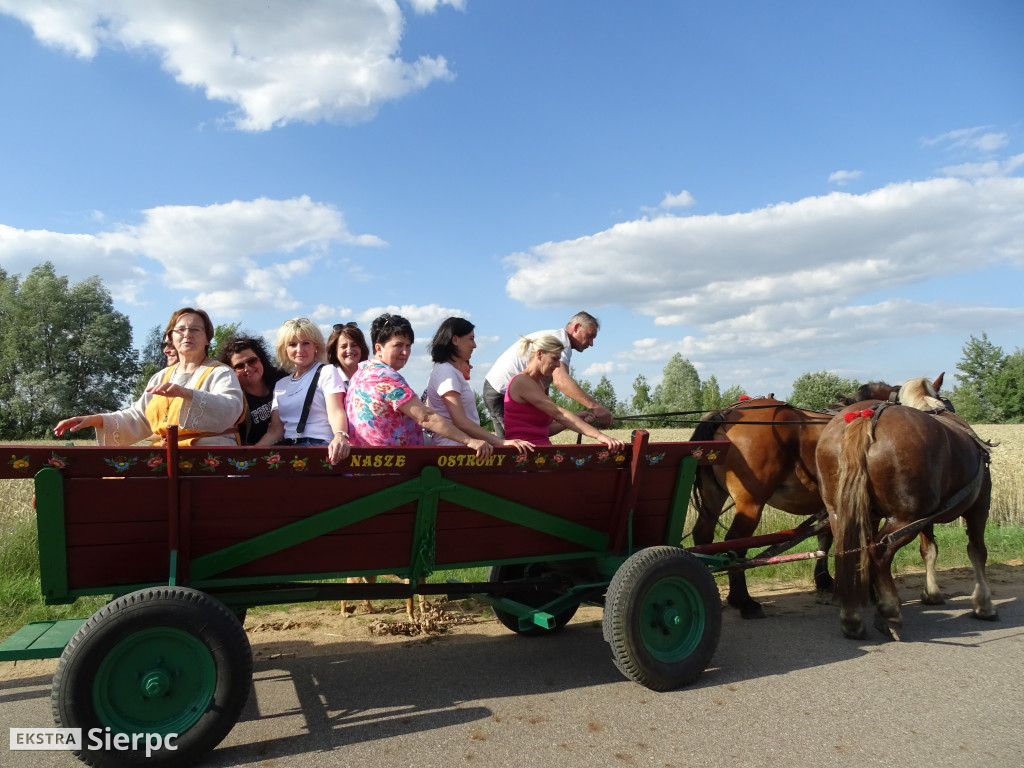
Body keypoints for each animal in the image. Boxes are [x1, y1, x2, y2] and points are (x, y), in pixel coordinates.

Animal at [688, 376, 942, 622]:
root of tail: (726, 413)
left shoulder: (833, 504)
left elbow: (827, 538)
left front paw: (826, 580)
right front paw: (867, 588)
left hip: (714, 495)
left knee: (704, 536)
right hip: (750, 502)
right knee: (735, 544)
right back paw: (744, 602)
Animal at [815, 399, 991, 638]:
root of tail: (866, 415)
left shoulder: (921, 517)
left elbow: (929, 550)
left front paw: (931, 594)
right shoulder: (979, 506)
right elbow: (977, 551)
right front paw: (984, 604)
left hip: (840, 513)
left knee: (849, 552)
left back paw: (852, 618)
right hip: (905, 518)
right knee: (879, 552)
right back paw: (889, 613)